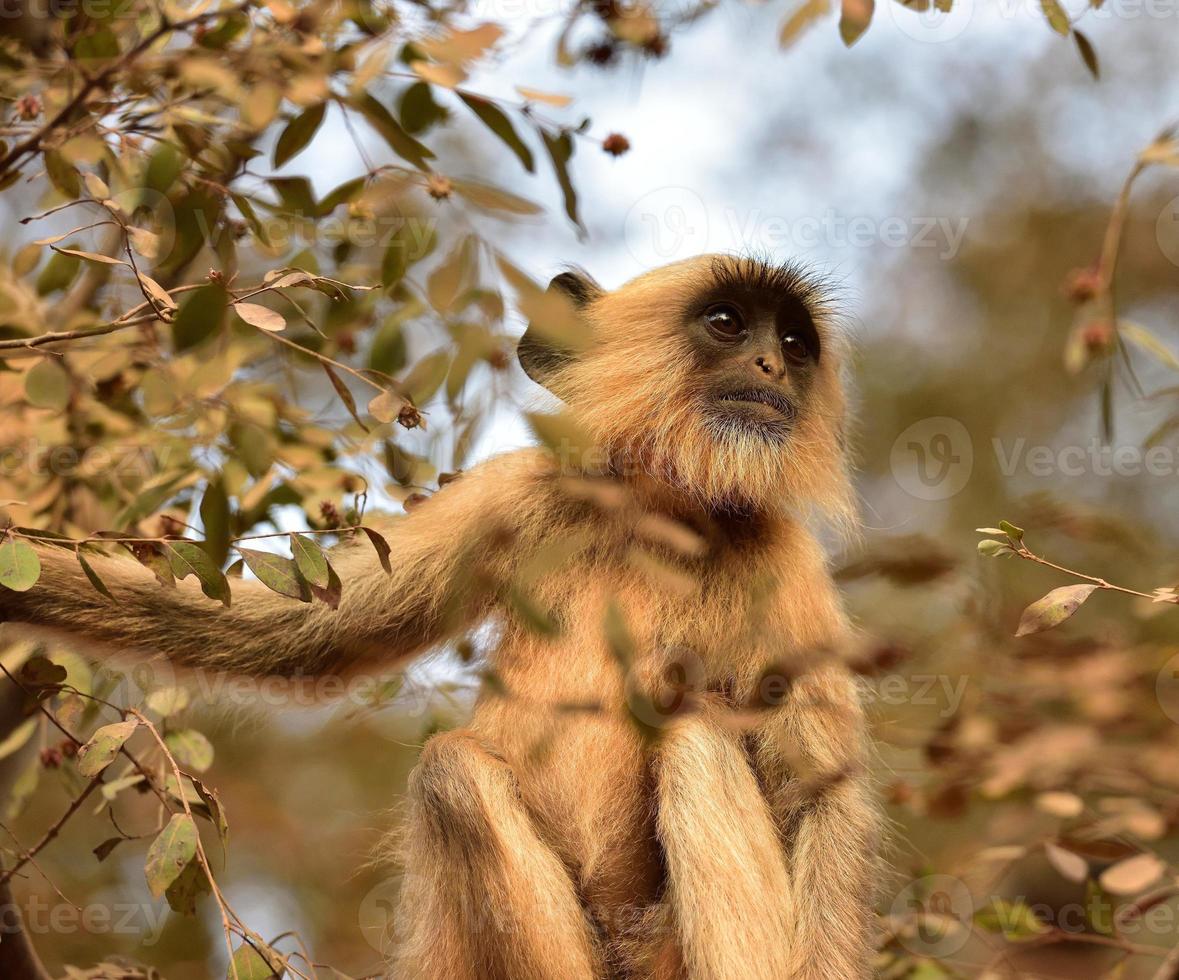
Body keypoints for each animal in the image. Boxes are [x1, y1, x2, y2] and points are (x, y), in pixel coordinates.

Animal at [0, 254, 881, 980]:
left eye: (794, 342)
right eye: (728, 323)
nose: (771, 365)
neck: (661, 515)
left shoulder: (786, 562)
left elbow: (817, 793)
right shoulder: (518, 496)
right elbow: (310, 636)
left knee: (687, 734)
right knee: (454, 774)